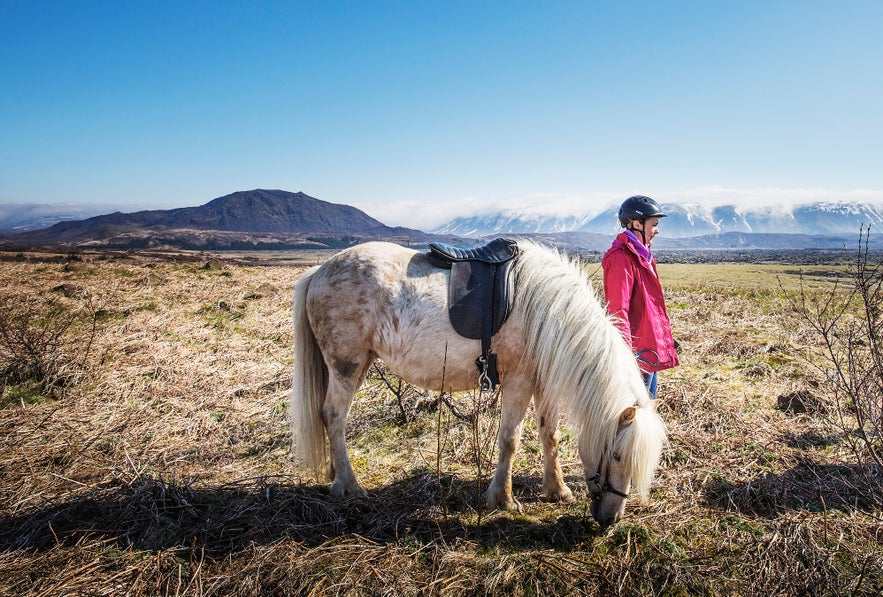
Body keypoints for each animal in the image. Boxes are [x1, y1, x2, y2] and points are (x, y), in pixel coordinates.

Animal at [294, 240, 668, 524]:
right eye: (617, 455)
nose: (610, 519)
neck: (550, 312)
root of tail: (318, 271)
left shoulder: (542, 381)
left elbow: (550, 435)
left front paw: (557, 490)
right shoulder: (519, 380)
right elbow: (510, 440)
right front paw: (503, 499)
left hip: (357, 365)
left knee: (331, 419)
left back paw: (335, 474)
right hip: (347, 365)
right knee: (334, 417)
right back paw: (350, 485)